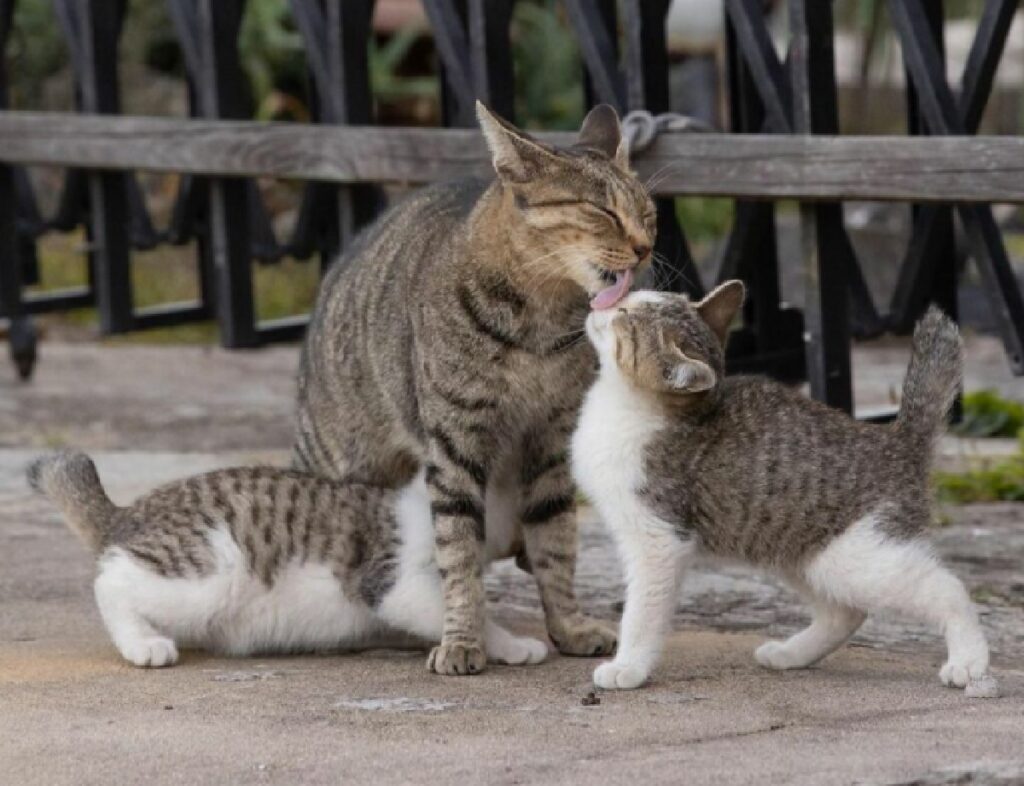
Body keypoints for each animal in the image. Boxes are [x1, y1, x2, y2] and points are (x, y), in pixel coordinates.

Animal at [28, 454, 548, 671]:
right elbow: (466, 610)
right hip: (211, 570)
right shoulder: (392, 580)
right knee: (111, 582)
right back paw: (143, 643)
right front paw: (511, 644)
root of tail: (130, 511)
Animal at [577, 286, 999, 695]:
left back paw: (968, 661)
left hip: (860, 558)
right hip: (795, 548)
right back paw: (792, 654)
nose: (599, 302)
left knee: (947, 589)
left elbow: (642, 612)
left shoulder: (659, 540)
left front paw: (628, 667)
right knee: (844, 612)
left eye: (625, 315)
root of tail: (897, 441)